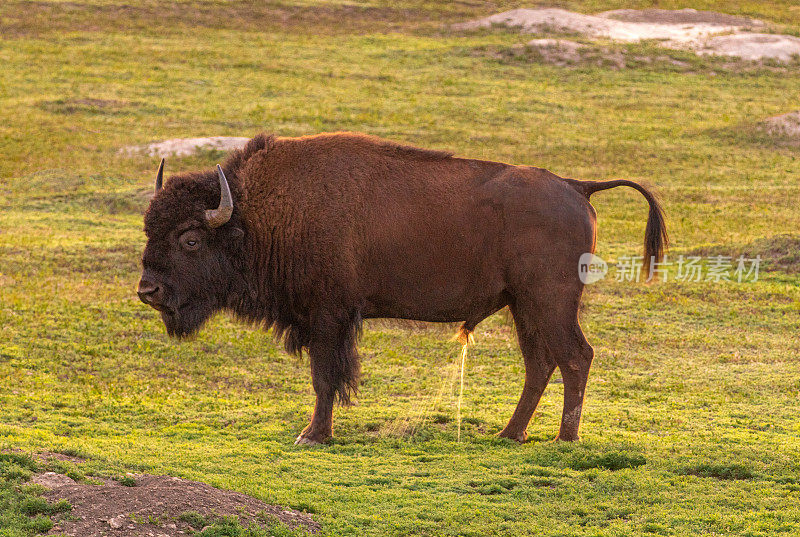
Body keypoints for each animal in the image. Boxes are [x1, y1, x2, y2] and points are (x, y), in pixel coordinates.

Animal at [139, 133, 668, 444]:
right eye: (148, 228)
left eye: (188, 238)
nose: (148, 291)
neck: (256, 216)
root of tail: (577, 186)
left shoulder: (328, 317)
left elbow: (324, 377)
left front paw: (313, 435)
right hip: (524, 306)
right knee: (541, 362)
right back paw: (509, 434)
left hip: (549, 302)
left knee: (575, 356)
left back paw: (564, 439)